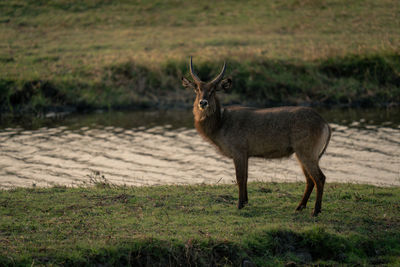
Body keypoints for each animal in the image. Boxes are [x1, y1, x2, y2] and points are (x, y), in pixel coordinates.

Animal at [181, 57, 332, 217]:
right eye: (197, 89)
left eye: (213, 90)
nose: (202, 103)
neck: (221, 123)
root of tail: (324, 123)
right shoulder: (246, 154)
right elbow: (246, 177)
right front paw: (246, 202)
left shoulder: (239, 152)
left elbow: (240, 178)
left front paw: (239, 205)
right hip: (301, 154)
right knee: (310, 179)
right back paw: (299, 207)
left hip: (307, 152)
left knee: (320, 178)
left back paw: (315, 211)